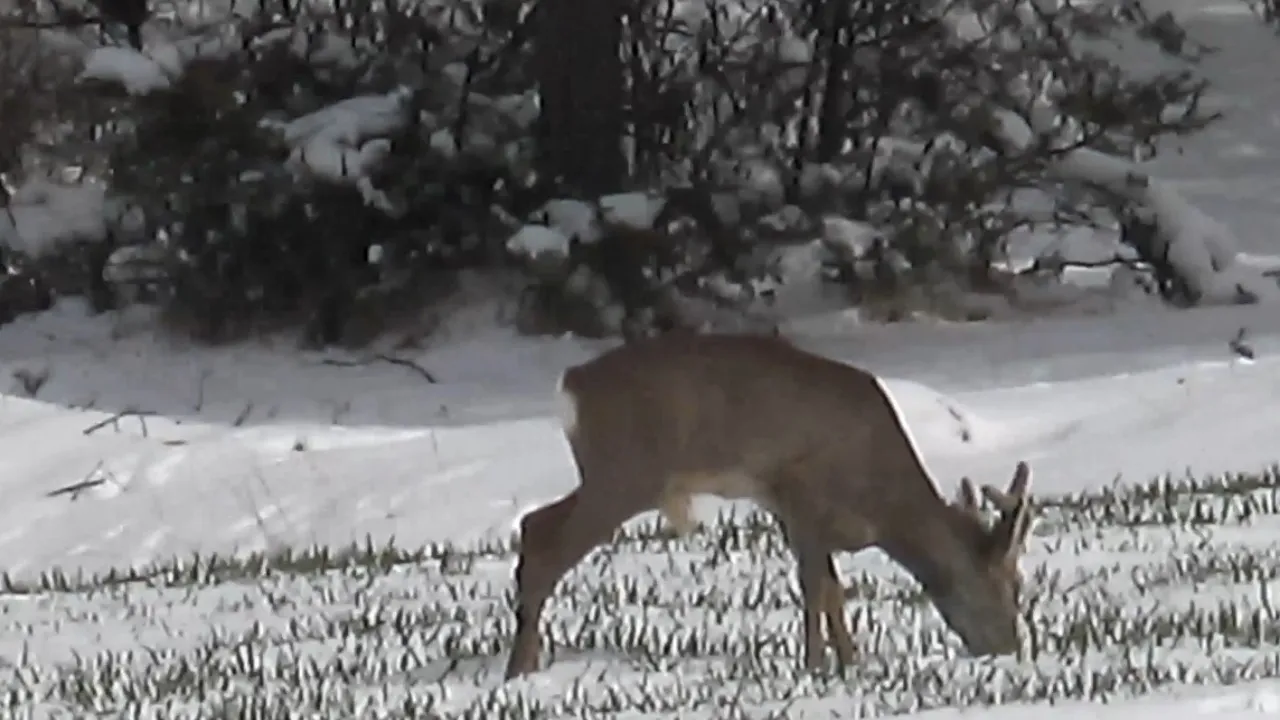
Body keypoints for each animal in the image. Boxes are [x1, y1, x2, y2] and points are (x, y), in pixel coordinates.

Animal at [504, 330, 1034, 676]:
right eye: (1012, 584)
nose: (1009, 649)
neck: (880, 501)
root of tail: (570, 384)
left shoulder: (786, 505)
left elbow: (833, 588)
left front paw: (851, 662)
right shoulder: (799, 490)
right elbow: (815, 585)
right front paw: (815, 667)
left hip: (609, 474)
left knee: (533, 523)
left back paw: (525, 662)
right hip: (627, 471)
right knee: (546, 544)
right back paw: (520, 669)